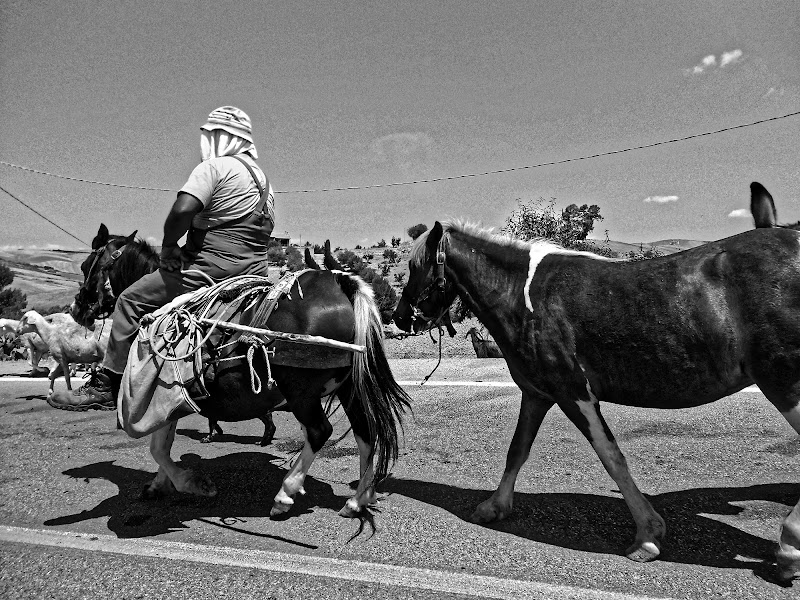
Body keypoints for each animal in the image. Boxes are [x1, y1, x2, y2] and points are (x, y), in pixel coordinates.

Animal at [392, 219, 800, 580]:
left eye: (415, 267)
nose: (398, 317)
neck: (521, 294)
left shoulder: (574, 393)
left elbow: (612, 458)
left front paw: (647, 535)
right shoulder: (538, 394)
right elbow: (517, 450)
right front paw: (495, 505)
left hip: (784, 383)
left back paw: (788, 549)